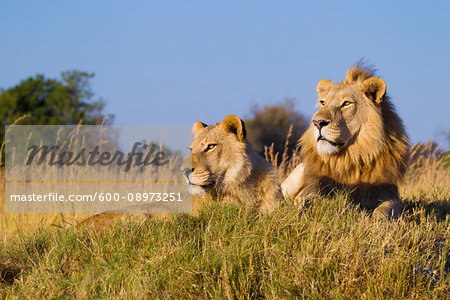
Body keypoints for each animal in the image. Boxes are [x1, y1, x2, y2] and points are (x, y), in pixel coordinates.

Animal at [284, 62, 410, 218]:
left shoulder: (388, 192)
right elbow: (311, 199)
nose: (317, 123)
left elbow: (387, 209)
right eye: (323, 102)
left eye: (346, 103)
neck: (352, 155)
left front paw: (378, 220)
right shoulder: (312, 187)